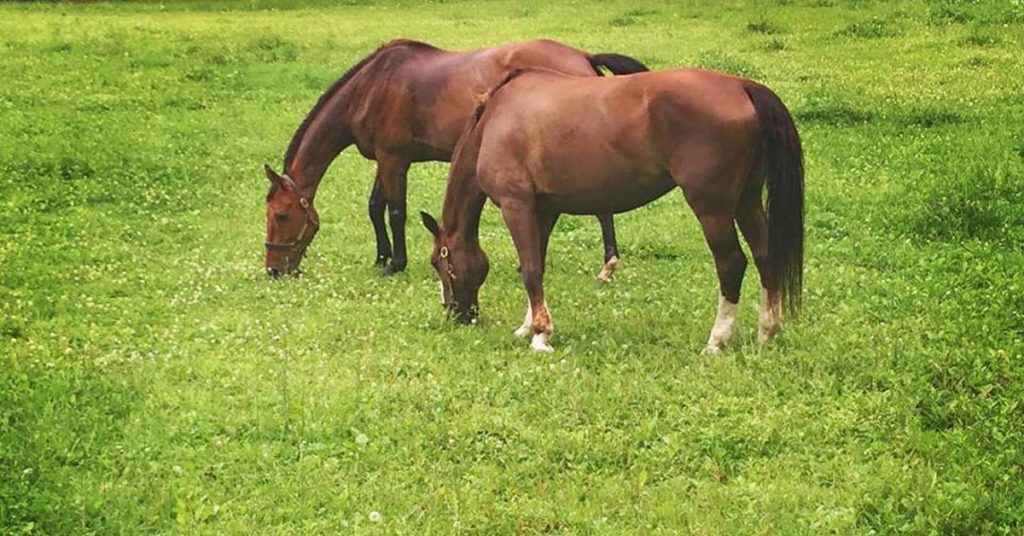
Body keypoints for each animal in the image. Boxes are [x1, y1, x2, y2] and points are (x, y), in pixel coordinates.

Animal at [264, 38, 647, 276]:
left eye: (281, 215)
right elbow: (375, 206)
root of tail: (583, 56)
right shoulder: (385, 160)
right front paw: (381, 257)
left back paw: (607, 264)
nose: (274, 269)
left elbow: (395, 212)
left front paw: (396, 263)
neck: (371, 86)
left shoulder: (394, 159)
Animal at [419, 68, 802, 352]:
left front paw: (541, 336)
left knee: (732, 263)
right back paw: (766, 332)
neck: (494, 121)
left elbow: (529, 270)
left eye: (440, 262)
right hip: (746, 201)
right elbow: (535, 266)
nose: (457, 315)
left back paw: (717, 341)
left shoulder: (517, 206)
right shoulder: (543, 211)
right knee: (766, 256)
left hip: (712, 207)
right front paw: (528, 327)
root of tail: (742, 86)